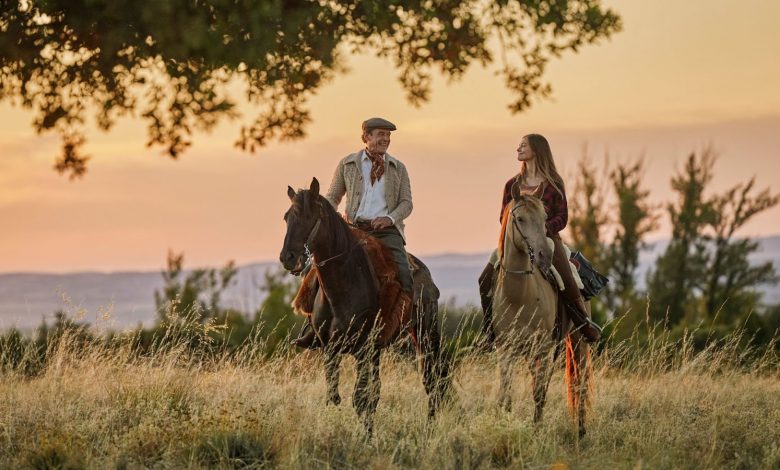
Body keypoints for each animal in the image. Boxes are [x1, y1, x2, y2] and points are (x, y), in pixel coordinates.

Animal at [280, 177, 450, 434]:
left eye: (310, 217)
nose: (287, 258)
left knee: (432, 381)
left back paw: (429, 429)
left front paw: (366, 438)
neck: (342, 287)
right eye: (287, 217)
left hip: (424, 334)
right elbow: (335, 397)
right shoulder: (330, 349)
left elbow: (360, 399)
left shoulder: (362, 349)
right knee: (381, 389)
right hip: (378, 350)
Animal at [494, 185, 592, 436]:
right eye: (520, 218)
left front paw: (536, 431)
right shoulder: (506, 349)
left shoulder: (543, 347)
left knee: (580, 383)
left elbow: (539, 393)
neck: (518, 296)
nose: (544, 256)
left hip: (577, 339)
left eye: (544, 218)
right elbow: (506, 394)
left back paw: (581, 431)